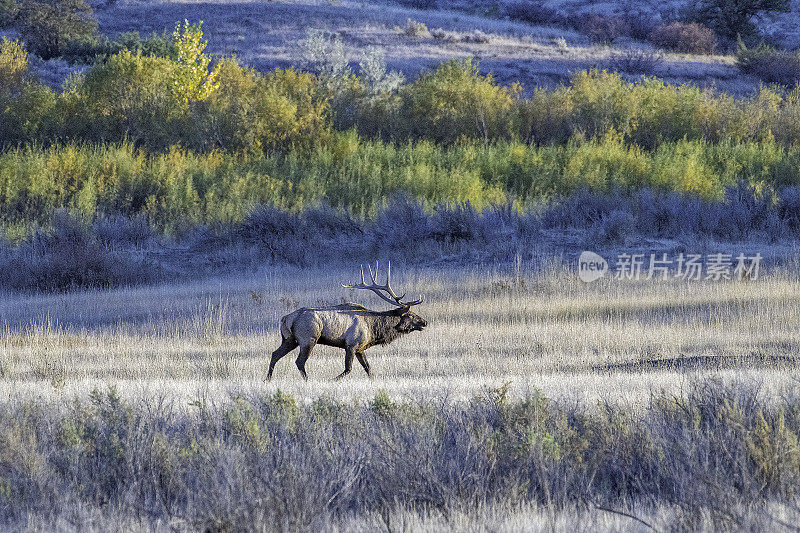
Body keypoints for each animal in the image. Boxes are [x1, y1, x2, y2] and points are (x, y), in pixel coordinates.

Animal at [268, 260, 428, 378]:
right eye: (411, 315)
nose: (425, 322)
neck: (373, 329)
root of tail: (285, 319)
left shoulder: (360, 348)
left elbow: (368, 368)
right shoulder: (351, 344)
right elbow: (348, 369)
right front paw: (332, 380)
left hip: (290, 339)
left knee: (275, 354)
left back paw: (268, 378)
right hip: (308, 338)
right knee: (299, 361)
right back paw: (307, 380)